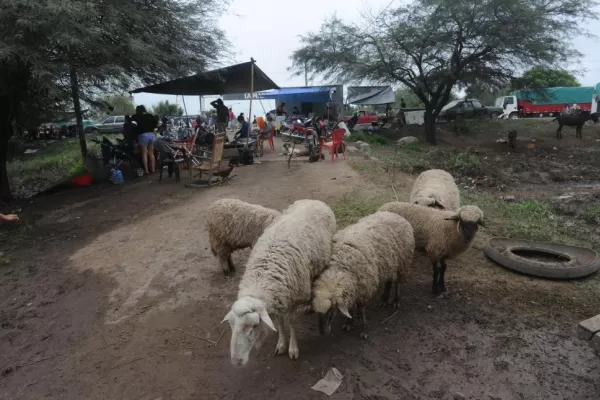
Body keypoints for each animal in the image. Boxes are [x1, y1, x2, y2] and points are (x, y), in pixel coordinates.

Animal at [221, 198, 338, 368]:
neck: (263, 276)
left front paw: (293, 348)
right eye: (230, 324)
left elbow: (291, 323)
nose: (237, 361)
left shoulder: (294, 298)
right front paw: (281, 344)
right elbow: (279, 323)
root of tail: (313, 200)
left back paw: (309, 306)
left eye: (254, 326)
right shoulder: (278, 299)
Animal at [310, 211, 412, 340]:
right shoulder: (353, 288)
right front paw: (349, 323)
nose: (323, 332)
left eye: (331, 309)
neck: (340, 265)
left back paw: (396, 301)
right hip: (389, 263)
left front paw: (364, 330)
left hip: (402, 263)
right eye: (317, 312)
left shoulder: (364, 288)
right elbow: (350, 308)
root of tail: (394, 214)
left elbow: (362, 311)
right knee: (389, 282)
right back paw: (384, 300)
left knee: (398, 282)